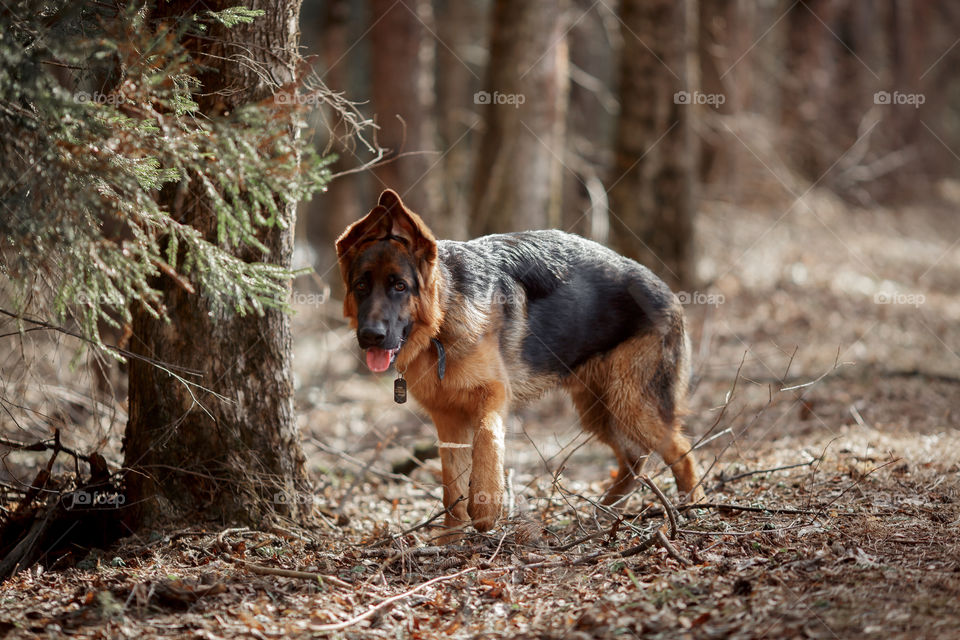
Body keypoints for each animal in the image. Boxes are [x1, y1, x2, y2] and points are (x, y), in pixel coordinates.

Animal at [340, 189, 704, 536]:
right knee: (633, 459)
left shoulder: (494, 393)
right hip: (600, 409)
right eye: (361, 286)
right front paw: (449, 542)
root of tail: (666, 289)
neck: (440, 327)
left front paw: (486, 506)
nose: (371, 335)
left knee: (682, 451)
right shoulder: (448, 420)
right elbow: (451, 490)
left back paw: (692, 511)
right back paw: (602, 513)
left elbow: (488, 436)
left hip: (631, 402)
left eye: (400, 286)